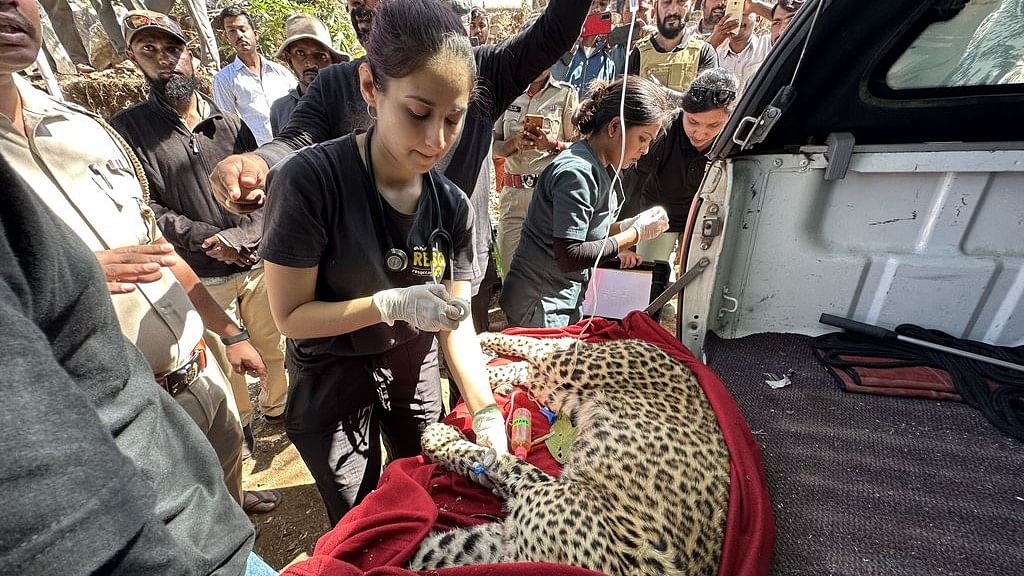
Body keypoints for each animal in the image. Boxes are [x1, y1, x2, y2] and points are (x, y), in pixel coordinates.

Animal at [403, 332, 733, 573]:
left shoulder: (518, 523)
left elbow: (501, 462)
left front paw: (440, 436)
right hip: (572, 374)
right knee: (543, 350)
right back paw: (485, 345)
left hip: (566, 381)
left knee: (538, 358)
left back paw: (485, 358)